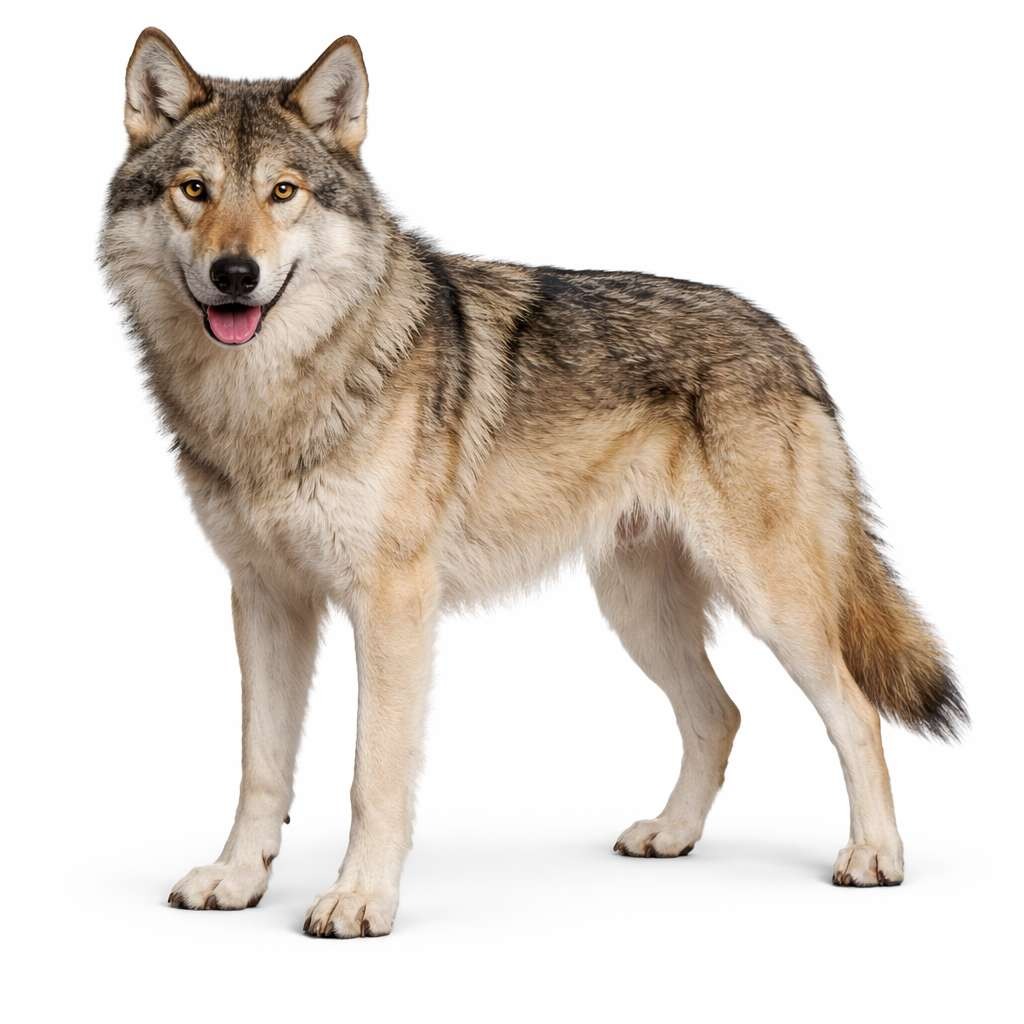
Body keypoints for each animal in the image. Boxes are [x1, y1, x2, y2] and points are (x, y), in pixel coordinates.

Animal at [101, 28, 966, 938]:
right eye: (195, 190)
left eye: (282, 192)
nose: (235, 273)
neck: (272, 398)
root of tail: (792, 343)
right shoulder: (265, 601)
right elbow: (260, 767)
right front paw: (237, 879)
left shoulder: (392, 605)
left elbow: (373, 774)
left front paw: (361, 898)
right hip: (636, 611)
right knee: (720, 714)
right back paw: (672, 834)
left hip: (773, 605)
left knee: (853, 710)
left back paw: (874, 856)